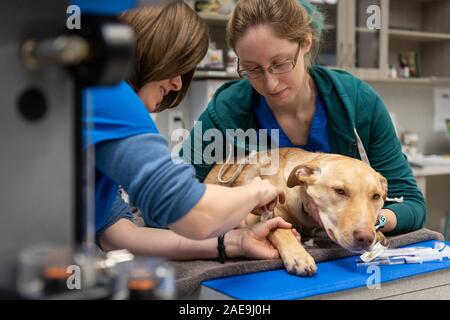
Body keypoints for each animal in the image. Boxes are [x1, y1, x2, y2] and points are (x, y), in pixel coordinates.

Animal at [206, 149, 388, 276]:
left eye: (376, 196)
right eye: (340, 191)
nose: (366, 238)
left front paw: (378, 234)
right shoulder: (259, 211)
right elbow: (280, 228)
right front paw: (298, 256)